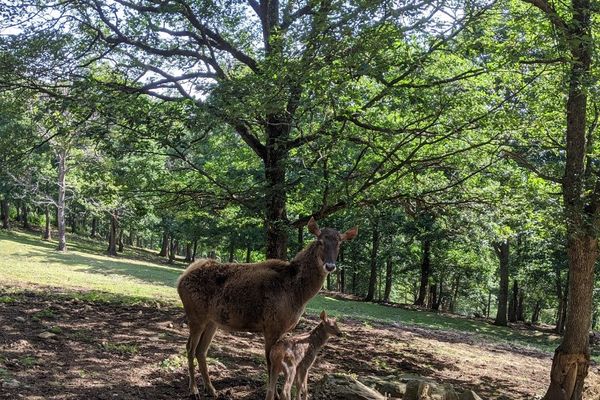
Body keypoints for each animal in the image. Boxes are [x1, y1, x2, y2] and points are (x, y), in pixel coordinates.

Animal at [177, 217, 356, 398]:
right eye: (320, 241)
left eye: (340, 243)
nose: (330, 266)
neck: (298, 294)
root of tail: (181, 279)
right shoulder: (271, 325)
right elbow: (270, 363)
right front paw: (274, 394)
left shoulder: (280, 329)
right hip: (195, 315)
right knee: (190, 348)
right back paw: (194, 389)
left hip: (212, 321)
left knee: (201, 350)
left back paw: (211, 389)